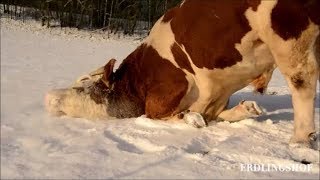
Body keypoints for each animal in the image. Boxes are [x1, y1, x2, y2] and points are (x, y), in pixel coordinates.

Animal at [45, 0, 320, 148]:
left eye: (83, 83)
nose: (48, 97)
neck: (138, 82)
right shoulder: (217, 90)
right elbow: (216, 115)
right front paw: (246, 109)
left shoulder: (163, 97)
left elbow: (161, 116)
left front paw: (191, 119)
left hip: (287, 33)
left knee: (302, 80)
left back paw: (301, 139)